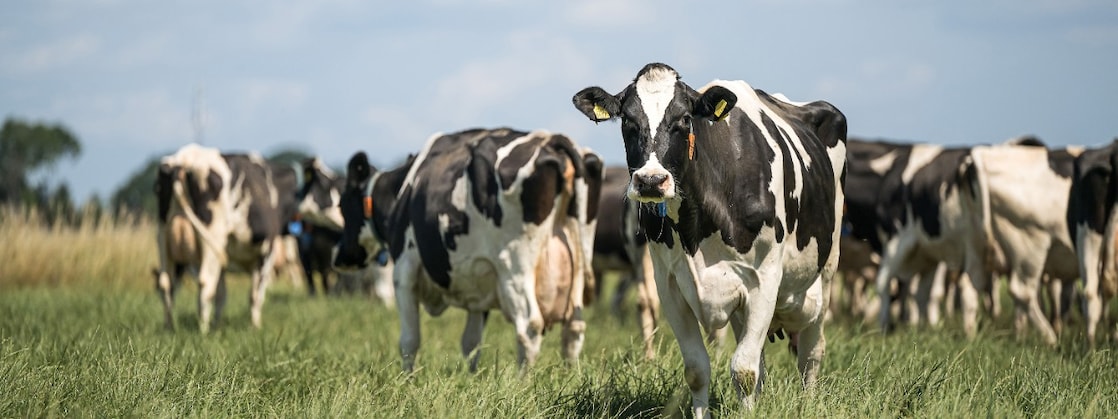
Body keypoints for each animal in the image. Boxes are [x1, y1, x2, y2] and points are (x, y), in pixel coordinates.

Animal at [154, 143, 297, 333]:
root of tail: (185, 158)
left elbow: (221, 294)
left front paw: (218, 325)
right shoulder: (267, 251)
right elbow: (256, 294)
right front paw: (255, 326)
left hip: (164, 238)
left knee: (166, 284)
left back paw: (169, 328)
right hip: (211, 235)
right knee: (205, 283)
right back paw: (203, 330)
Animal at [334, 128, 601, 373]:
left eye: (343, 205)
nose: (339, 257)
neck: (403, 191)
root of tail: (551, 138)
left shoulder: (404, 270)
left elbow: (409, 340)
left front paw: (406, 378)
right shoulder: (480, 280)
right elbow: (471, 343)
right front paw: (472, 376)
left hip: (514, 267)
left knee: (529, 326)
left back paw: (522, 382)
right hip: (577, 264)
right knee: (574, 328)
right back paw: (569, 376)